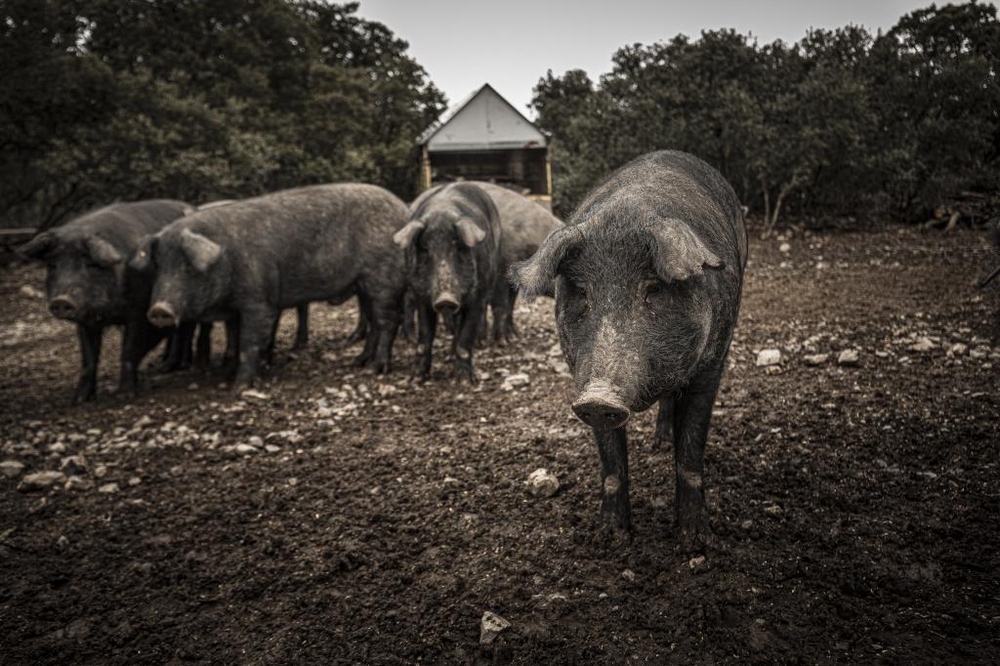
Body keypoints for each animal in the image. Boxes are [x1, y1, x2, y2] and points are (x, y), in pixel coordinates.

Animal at [17, 198, 192, 400]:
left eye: (90, 264)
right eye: (52, 265)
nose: (61, 300)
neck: (106, 313)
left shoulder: (138, 312)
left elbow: (129, 351)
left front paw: (125, 395)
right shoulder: (84, 321)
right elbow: (88, 358)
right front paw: (79, 399)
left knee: (183, 331)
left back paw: (175, 366)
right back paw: (162, 365)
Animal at [131, 183, 408, 390]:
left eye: (187, 267)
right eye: (159, 268)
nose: (159, 310)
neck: (228, 258)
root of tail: (403, 210)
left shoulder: (259, 301)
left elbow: (248, 341)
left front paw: (239, 386)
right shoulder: (235, 309)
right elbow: (234, 338)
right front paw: (227, 374)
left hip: (381, 278)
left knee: (388, 322)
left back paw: (374, 369)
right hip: (363, 285)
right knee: (374, 323)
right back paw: (358, 362)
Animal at [390, 182, 500, 382]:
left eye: (458, 248)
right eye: (426, 250)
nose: (445, 299)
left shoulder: (477, 297)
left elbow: (466, 339)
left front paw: (464, 381)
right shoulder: (422, 296)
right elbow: (424, 337)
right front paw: (416, 379)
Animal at [512, 148, 748, 544]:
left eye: (653, 289)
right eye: (583, 293)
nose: (599, 396)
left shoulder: (712, 364)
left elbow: (691, 453)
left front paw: (696, 540)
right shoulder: (580, 377)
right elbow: (611, 463)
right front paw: (610, 537)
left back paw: (663, 446)